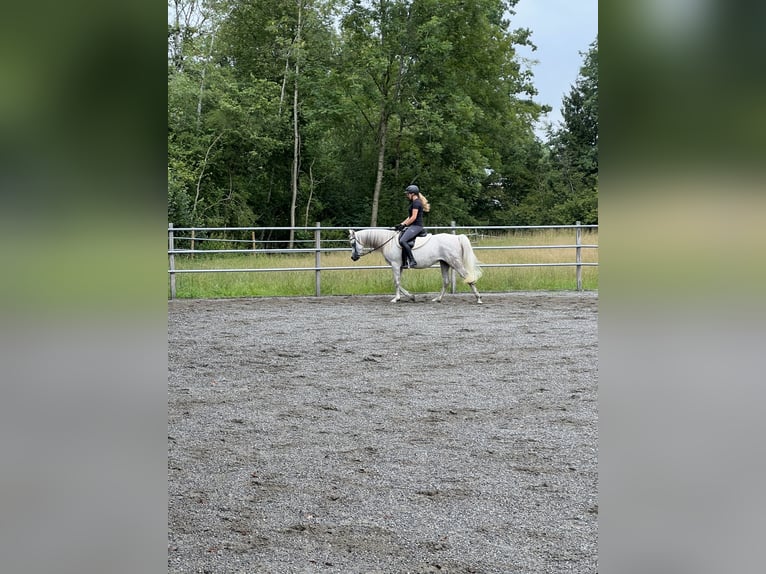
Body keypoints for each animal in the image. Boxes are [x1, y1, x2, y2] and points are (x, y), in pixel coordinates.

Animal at [349, 228, 483, 304]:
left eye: (353, 243)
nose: (353, 258)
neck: (388, 242)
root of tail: (456, 237)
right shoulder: (399, 267)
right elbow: (397, 282)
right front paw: (411, 296)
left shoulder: (395, 265)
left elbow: (397, 282)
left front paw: (396, 299)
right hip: (444, 263)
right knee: (446, 281)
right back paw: (438, 299)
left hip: (455, 262)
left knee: (468, 277)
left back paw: (478, 298)